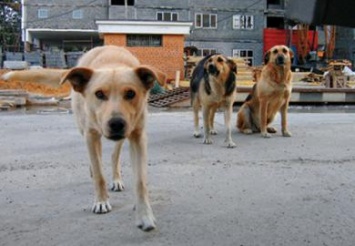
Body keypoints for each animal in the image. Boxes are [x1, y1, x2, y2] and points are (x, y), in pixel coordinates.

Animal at [2, 45, 167, 232]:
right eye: (99, 94)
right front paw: (101, 201)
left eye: (131, 93)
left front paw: (145, 216)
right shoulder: (90, 134)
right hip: (85, 129)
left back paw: (116, 178)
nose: (116, 123)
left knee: (113, 155)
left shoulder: (138, 136)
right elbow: (99, 173)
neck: (113, 63)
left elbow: (140, 182)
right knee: (96, 159)